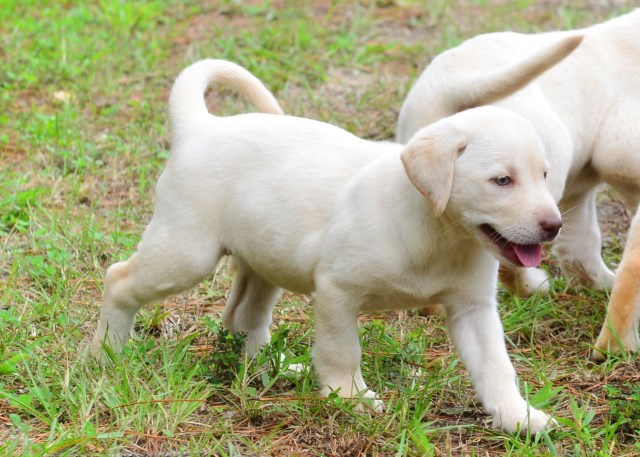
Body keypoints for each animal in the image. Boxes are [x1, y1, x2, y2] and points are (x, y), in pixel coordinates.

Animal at [92, 59, 564, 432]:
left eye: (544, 175)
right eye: (501, 180)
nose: (554, 226)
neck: (437, 233)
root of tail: (202, 127)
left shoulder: (473, 309)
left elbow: (496, 368)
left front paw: (518, 417)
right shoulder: (337, 293)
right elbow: (342, 351)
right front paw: (349, 397)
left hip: (263, 261)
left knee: (242, 319)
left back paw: (281, 368)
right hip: (186, 253)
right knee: (119, 279)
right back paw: (106, 352)